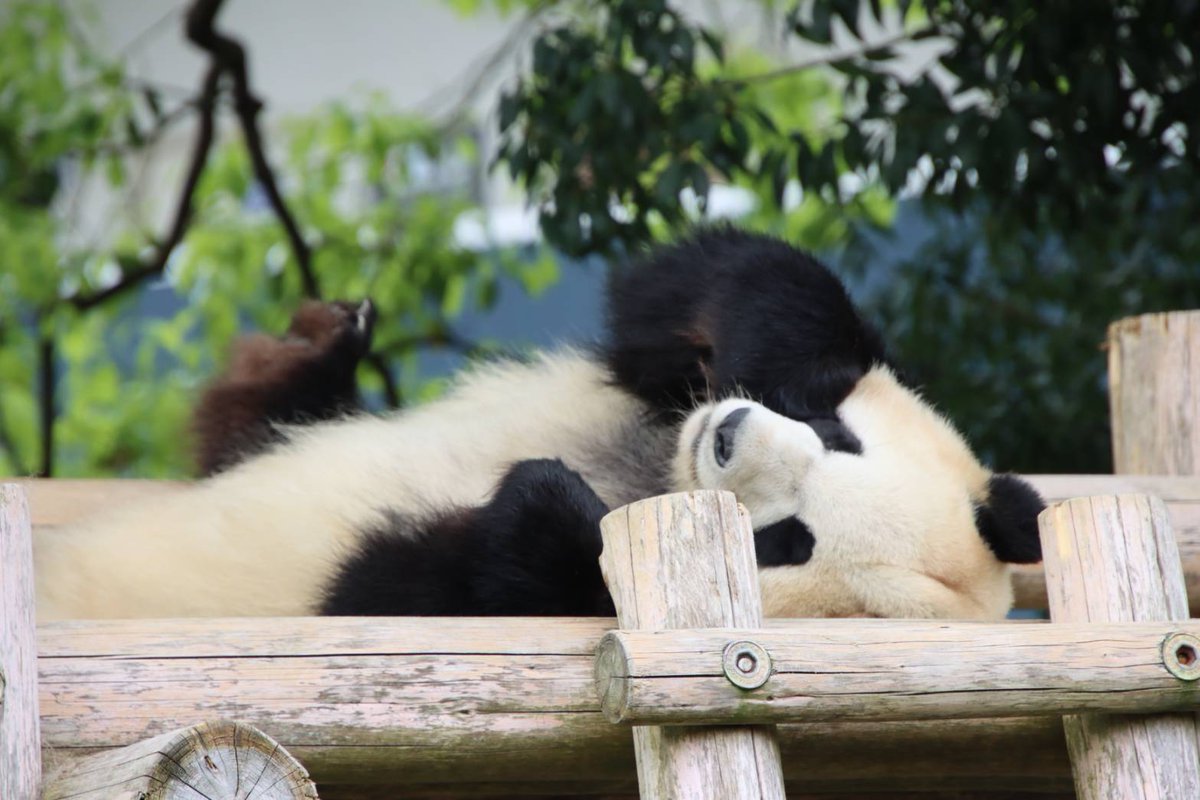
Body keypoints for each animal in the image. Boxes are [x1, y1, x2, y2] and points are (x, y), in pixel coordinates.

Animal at [30, 227, 1041, 623]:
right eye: (834, 433)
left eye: (786, 544)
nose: (728, 434)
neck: (656, 473)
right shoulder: (651, 391)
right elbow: (720, 278)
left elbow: (399, 590)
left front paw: (548, 502)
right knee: (260, 425)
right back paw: (322, 340)